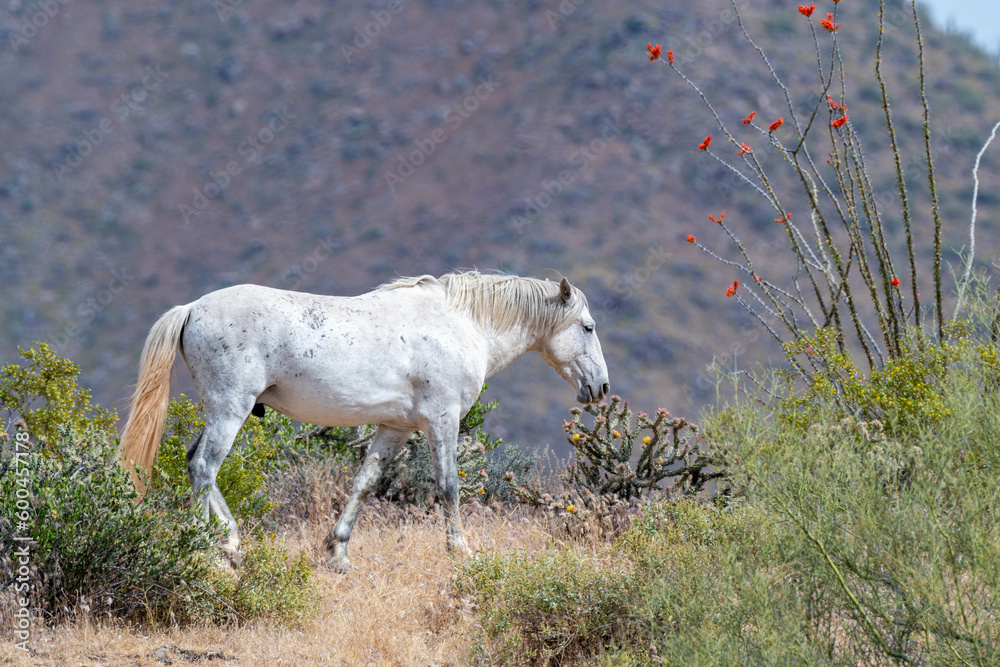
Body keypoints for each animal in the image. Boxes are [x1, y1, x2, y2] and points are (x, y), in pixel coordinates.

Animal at [117, 272, 609, 571]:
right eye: (587, 327)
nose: (601, 388)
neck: (463, 324)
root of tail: (192, 308)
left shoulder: (396, 428)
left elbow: (364, 483)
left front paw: (337, 553)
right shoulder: (442, 421)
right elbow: (449, 487)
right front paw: (461, 550)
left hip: (222, 410)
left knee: (193, 463)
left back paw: (220, 541)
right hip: (229, 408)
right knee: (205, 468)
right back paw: (218, 549)